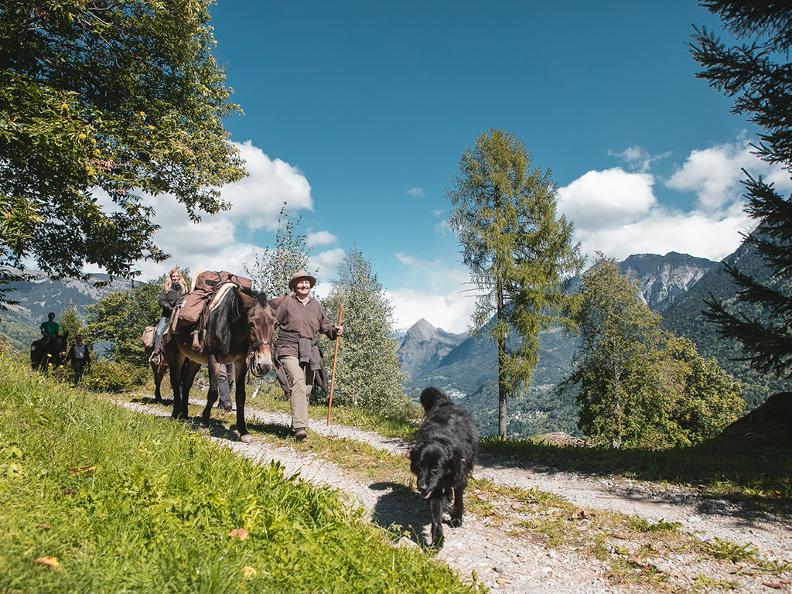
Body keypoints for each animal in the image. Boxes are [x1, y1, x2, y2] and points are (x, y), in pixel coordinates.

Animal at [408, 384, 476, 544]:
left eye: (435, 469)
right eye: (419, 467)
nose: (422, 487)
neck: (440, 438)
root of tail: (446, 403)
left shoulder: (460, 475)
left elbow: (459, 498)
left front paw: (456, 518)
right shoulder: (435, 488)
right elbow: (436, 514)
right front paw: (437, 538)